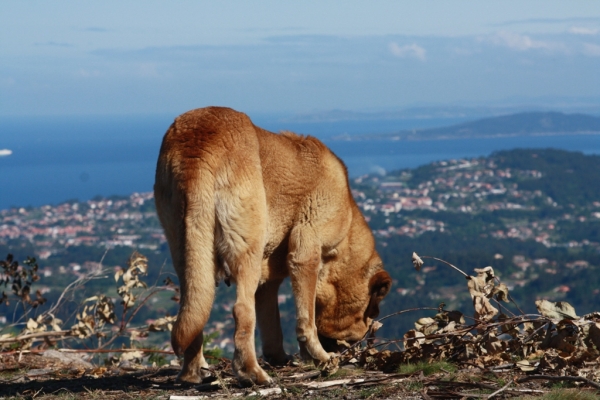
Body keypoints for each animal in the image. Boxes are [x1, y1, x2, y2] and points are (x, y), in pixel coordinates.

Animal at [152, 106, 392, 384]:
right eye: (369, 314)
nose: (353, 351)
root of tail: (200, 142)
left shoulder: (268, 281)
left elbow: (272, 324)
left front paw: (280, 357)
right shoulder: (305, 255)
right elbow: (306, 321)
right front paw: (321, 358)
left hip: (189, 255)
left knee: (195, 311)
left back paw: (192, 373)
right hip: (247, 251)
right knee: (242, 311)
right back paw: (251, 372)